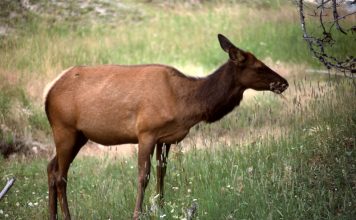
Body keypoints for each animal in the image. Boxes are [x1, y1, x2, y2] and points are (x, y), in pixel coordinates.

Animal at [44, 33, 290, 219]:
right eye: (259, 67)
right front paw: (138, 213)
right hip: (64, 128)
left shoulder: (166, 138)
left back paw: (52, 215)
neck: (186, 104)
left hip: (79, 135)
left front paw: (160, 208)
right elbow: (144, 175)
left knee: (51, 167)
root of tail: (47, 94)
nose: (284, 82)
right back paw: (67, 216)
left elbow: (162, 172)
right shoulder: (146, 132)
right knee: (61, 175)